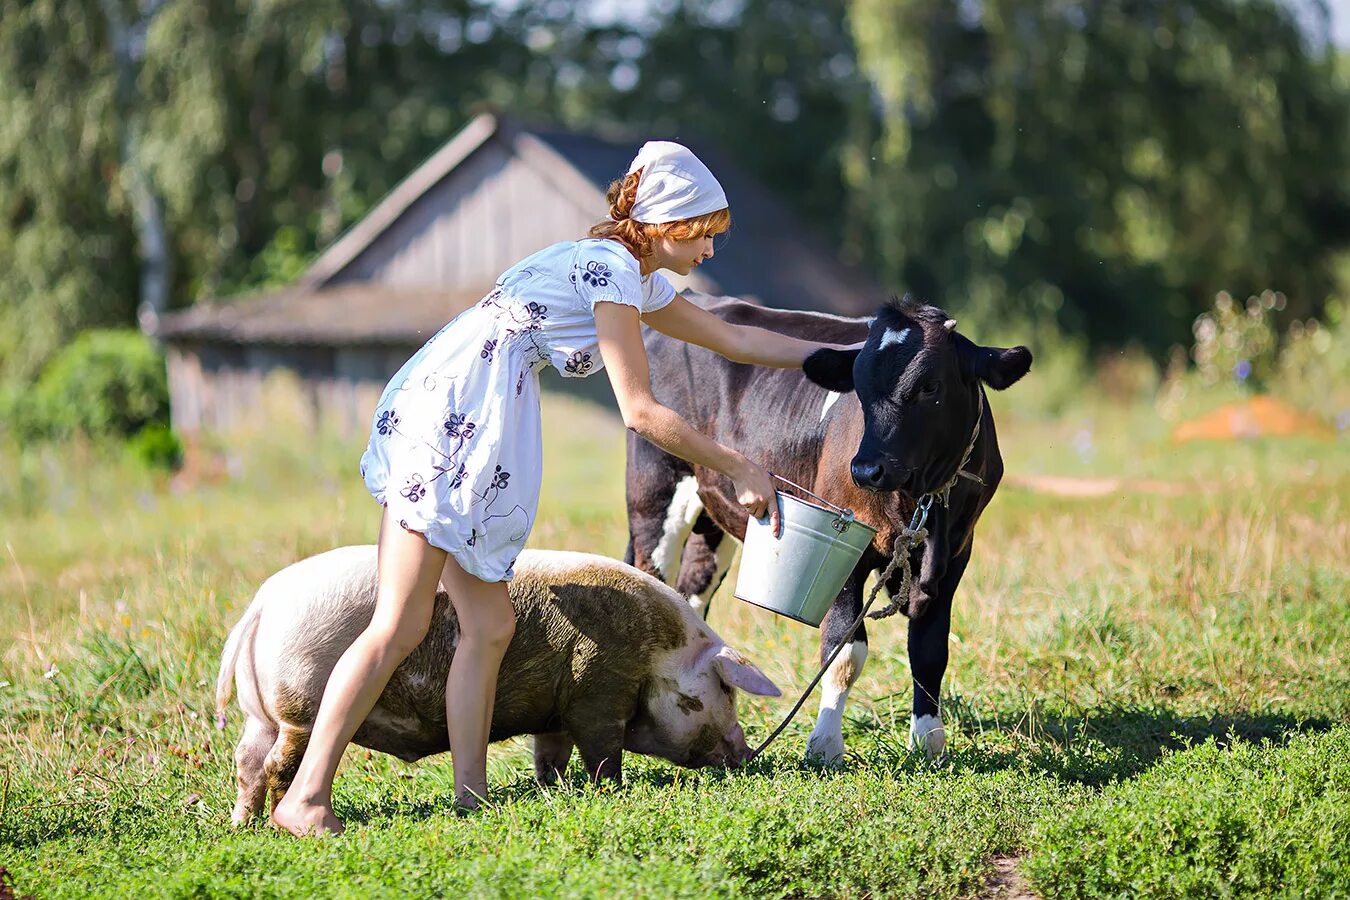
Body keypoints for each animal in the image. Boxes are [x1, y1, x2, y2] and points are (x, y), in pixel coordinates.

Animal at [623, 294, 1031, 761]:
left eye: (930, 386)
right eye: (858, 387)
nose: (867, 469)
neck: (919, 501)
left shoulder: (956, 553)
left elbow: (929, 652)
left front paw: (929, 742)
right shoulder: (847, 555)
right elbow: (844, 651)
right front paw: (825, 745)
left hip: (713, 515)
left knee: (692, 592)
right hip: (654, 492)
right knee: (652, 575)